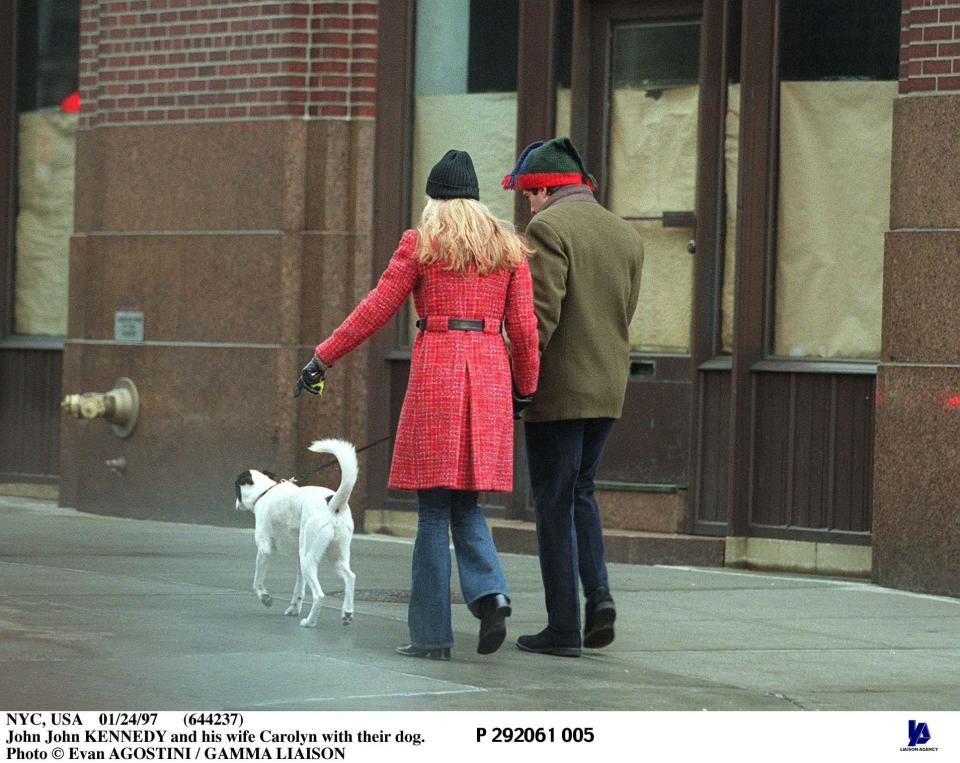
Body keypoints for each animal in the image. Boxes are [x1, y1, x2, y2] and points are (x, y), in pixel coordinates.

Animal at [234, 442, 358, 628]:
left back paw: (310, 622)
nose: (235, 504)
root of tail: (333, 503)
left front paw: (265, 598)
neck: (264, 491)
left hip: (308, 560)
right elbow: (299, 587)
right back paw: (347, 613)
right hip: (334, 557)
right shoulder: (299, 559)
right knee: (350, 577)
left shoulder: (264, 550)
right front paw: (294, 608)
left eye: (235, 486)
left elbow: (257, 582)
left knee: (319, 594)